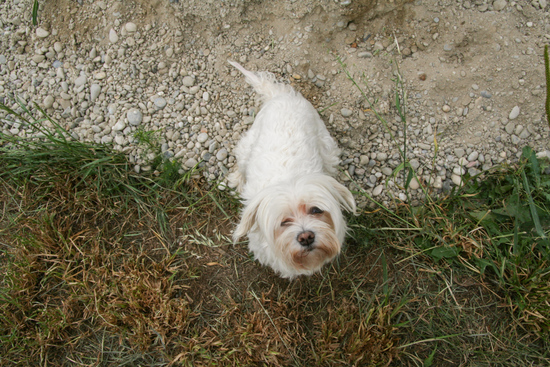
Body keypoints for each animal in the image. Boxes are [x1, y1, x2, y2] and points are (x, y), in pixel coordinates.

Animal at [229, 61, 358, 278]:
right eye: (283, 222)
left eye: (316, 210)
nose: (306, 237)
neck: (289, 177)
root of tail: (281, 95)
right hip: (246, 147)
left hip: (329, 151)